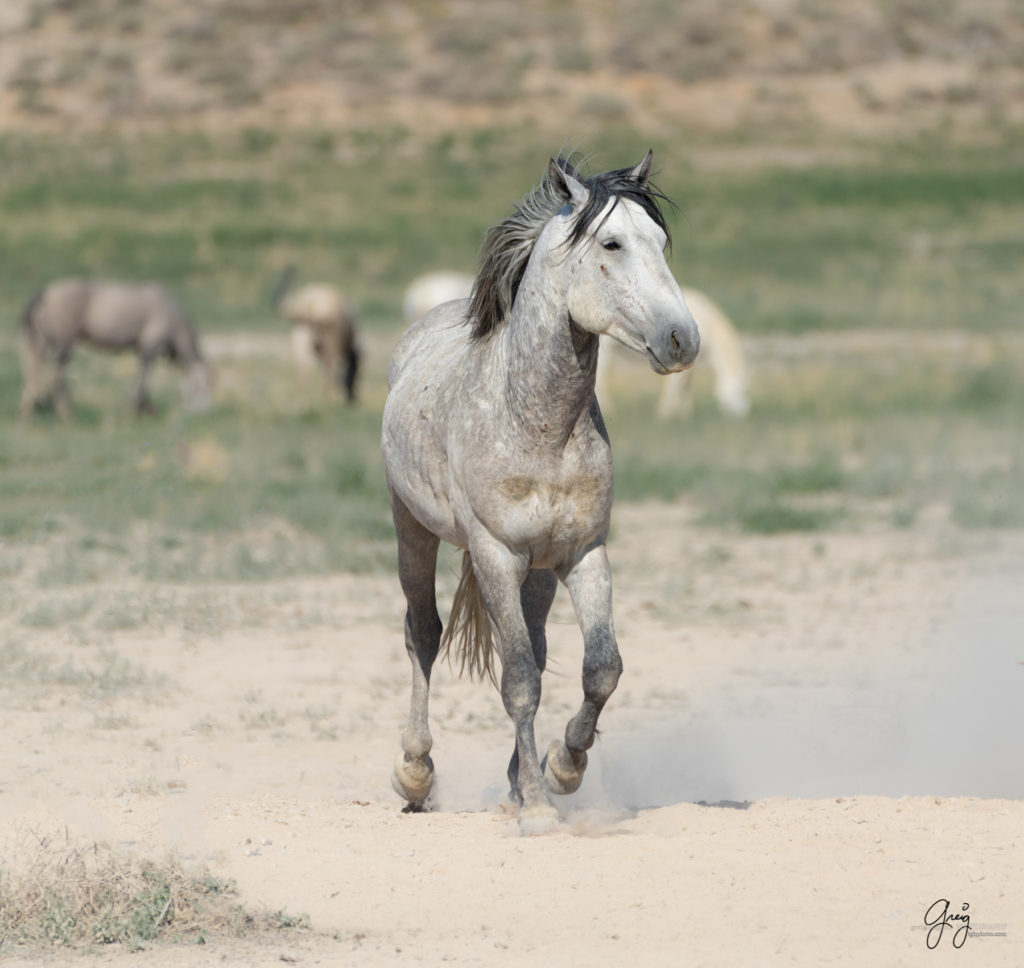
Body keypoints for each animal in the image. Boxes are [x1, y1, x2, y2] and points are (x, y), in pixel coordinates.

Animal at [19, 278, 214, 417]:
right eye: (202, 384)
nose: (202, 411)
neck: (169, 310)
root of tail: (44, 294)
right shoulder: (150, 348)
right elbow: (143, 377)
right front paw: (136, 409)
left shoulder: (141, 349)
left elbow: (143, 378)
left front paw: (146, 408)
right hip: (64, 346)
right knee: (57, 376)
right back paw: (65, 413)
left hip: (39, 343)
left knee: (33, 373)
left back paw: (28, 413)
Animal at [274, 266, 362, 401]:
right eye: (356, 373)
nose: (353, 397)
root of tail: (311, 306)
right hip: (329, 341)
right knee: (330, 364)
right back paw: (330, 394)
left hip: (301, 337)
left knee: (303, 366)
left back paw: (304, 396)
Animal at [380, 151, 700, 831]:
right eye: (611, 242)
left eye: (660, 242)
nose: (683, 339)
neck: (540, 424)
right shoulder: (497, 555)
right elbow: (519, 680)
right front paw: (535, 806)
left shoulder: (583, 554)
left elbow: (600, 668)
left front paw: (561, 768)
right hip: (413, 532)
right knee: (423, 632)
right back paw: (415, 772)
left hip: (540, 574)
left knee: (538, 643)